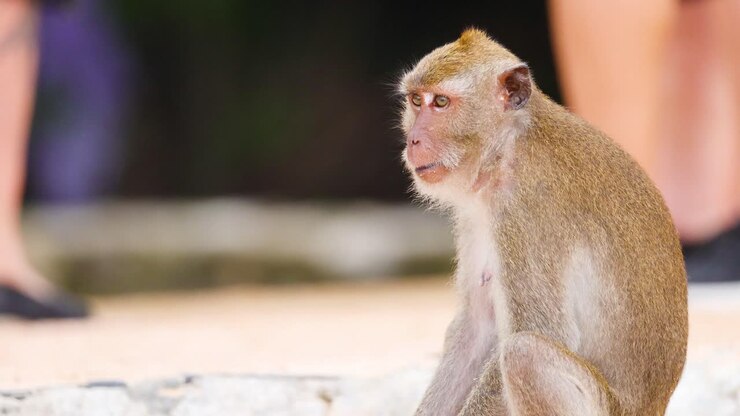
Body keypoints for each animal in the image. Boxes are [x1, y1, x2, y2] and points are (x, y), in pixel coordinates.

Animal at [398, 28, 688, 416]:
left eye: (441, 103)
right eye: (416, 101)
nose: (413, 140)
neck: (506, 149)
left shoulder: (527, 209)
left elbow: (540, 330)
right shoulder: (477, 214)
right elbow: (476, 327)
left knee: (525, 355)